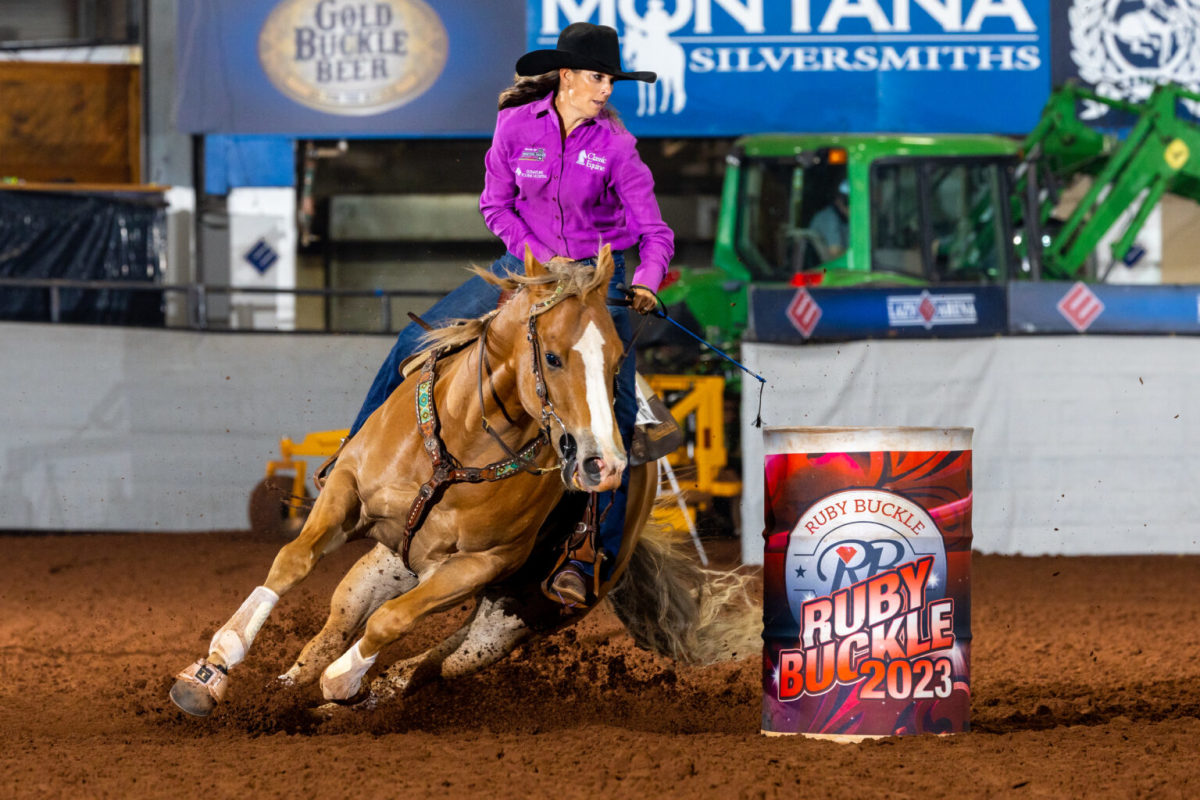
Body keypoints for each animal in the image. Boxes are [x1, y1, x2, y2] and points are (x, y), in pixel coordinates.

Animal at [169, 247, 753, 714]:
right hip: (385, 564)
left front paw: (344, 682)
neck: (462, 447)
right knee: (337, 624)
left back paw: (359, 694)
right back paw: (284, 687)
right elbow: (292, 560)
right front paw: (215, 664)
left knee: (434, 661)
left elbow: (392, 622)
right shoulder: (347, 491)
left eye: (615, 364)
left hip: (514, 618)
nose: (602, 464)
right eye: (552, 356)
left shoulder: (479, 565)